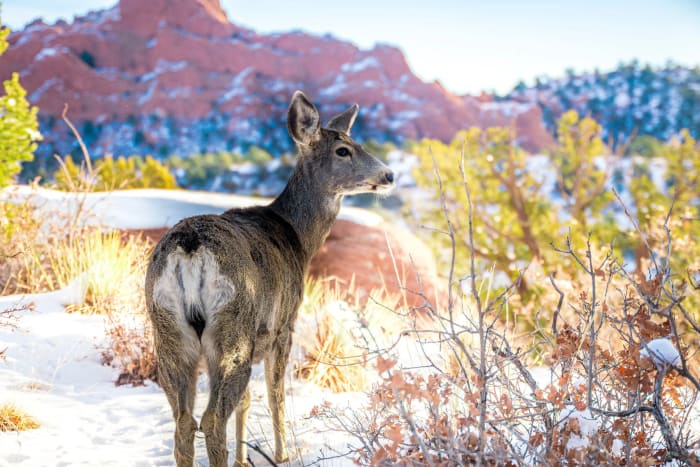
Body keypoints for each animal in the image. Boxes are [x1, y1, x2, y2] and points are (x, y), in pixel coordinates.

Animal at [145, 91, 395, 467]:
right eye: (343, 150)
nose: (389, 175)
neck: (298, 238)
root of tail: (190, 249)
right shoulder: (283, 326)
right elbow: (276, 395)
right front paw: (282, 454)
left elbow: (247, 402)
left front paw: (243, 459)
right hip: (232, 330)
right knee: (212, 418)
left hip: (168, 328)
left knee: (184, 422)